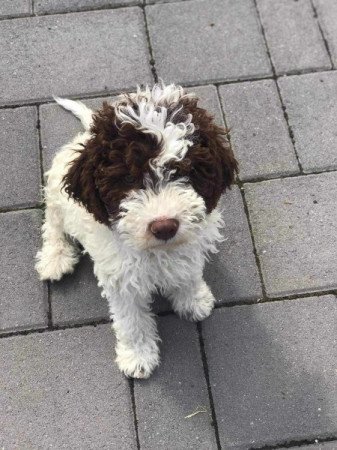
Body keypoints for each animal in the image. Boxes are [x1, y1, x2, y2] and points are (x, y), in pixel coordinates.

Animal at [35, 82, 238, 378]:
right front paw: (138, 355)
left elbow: (187, 272)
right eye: (129, 178)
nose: (164, 226)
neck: (157, 252)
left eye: (184, 171)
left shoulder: (190, 246)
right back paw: (55, 257)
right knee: (52, 223)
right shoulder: (120, 279)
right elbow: (131, 320)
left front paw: (193, 299)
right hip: (57, 198)